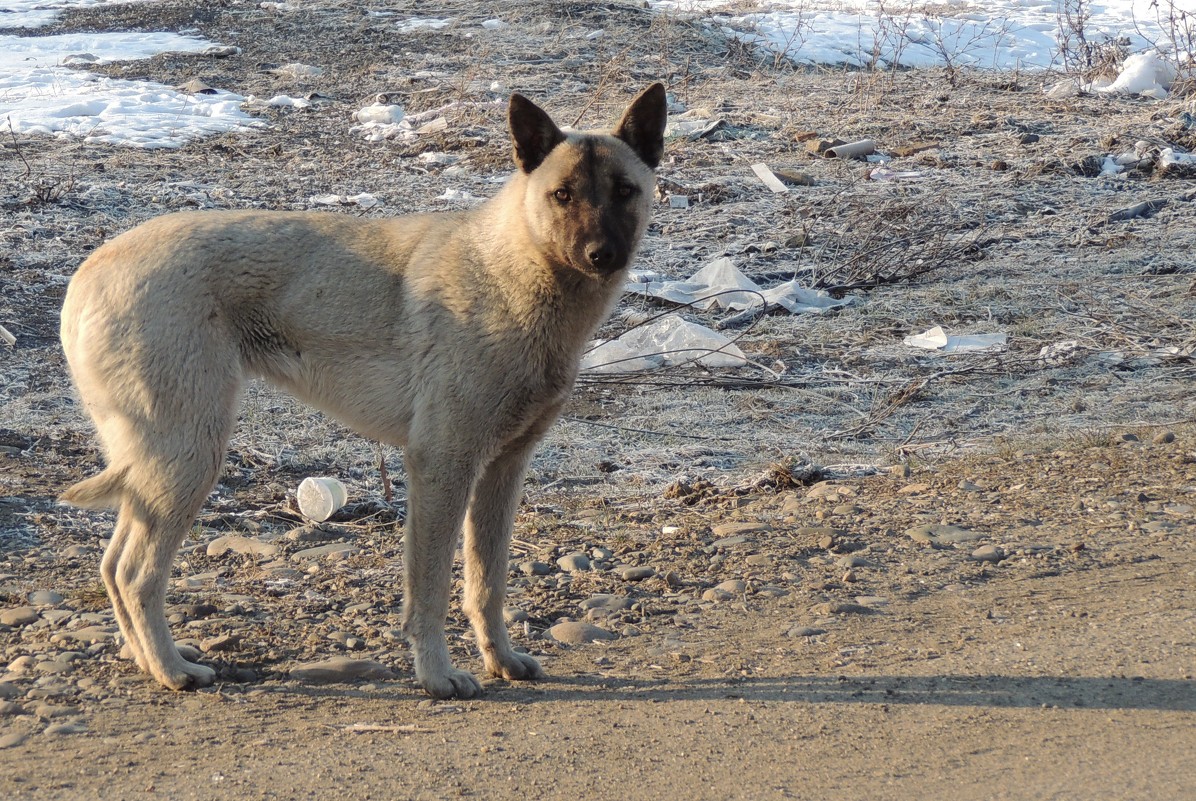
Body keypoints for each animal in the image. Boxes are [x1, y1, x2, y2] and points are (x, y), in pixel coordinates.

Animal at [60, 80, 674, 698]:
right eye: (562, 195)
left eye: (624, 191)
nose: (602, 255)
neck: (514, 268)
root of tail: (90, 271)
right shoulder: (442, 465)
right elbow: (430, 590)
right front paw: (437, 675)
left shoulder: (502, 472)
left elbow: (487, 583)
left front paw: (499, 658)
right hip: (189, 456)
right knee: (136, 574)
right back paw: (171, 671)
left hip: (157, 466)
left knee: (113, 566)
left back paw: (148, 661)